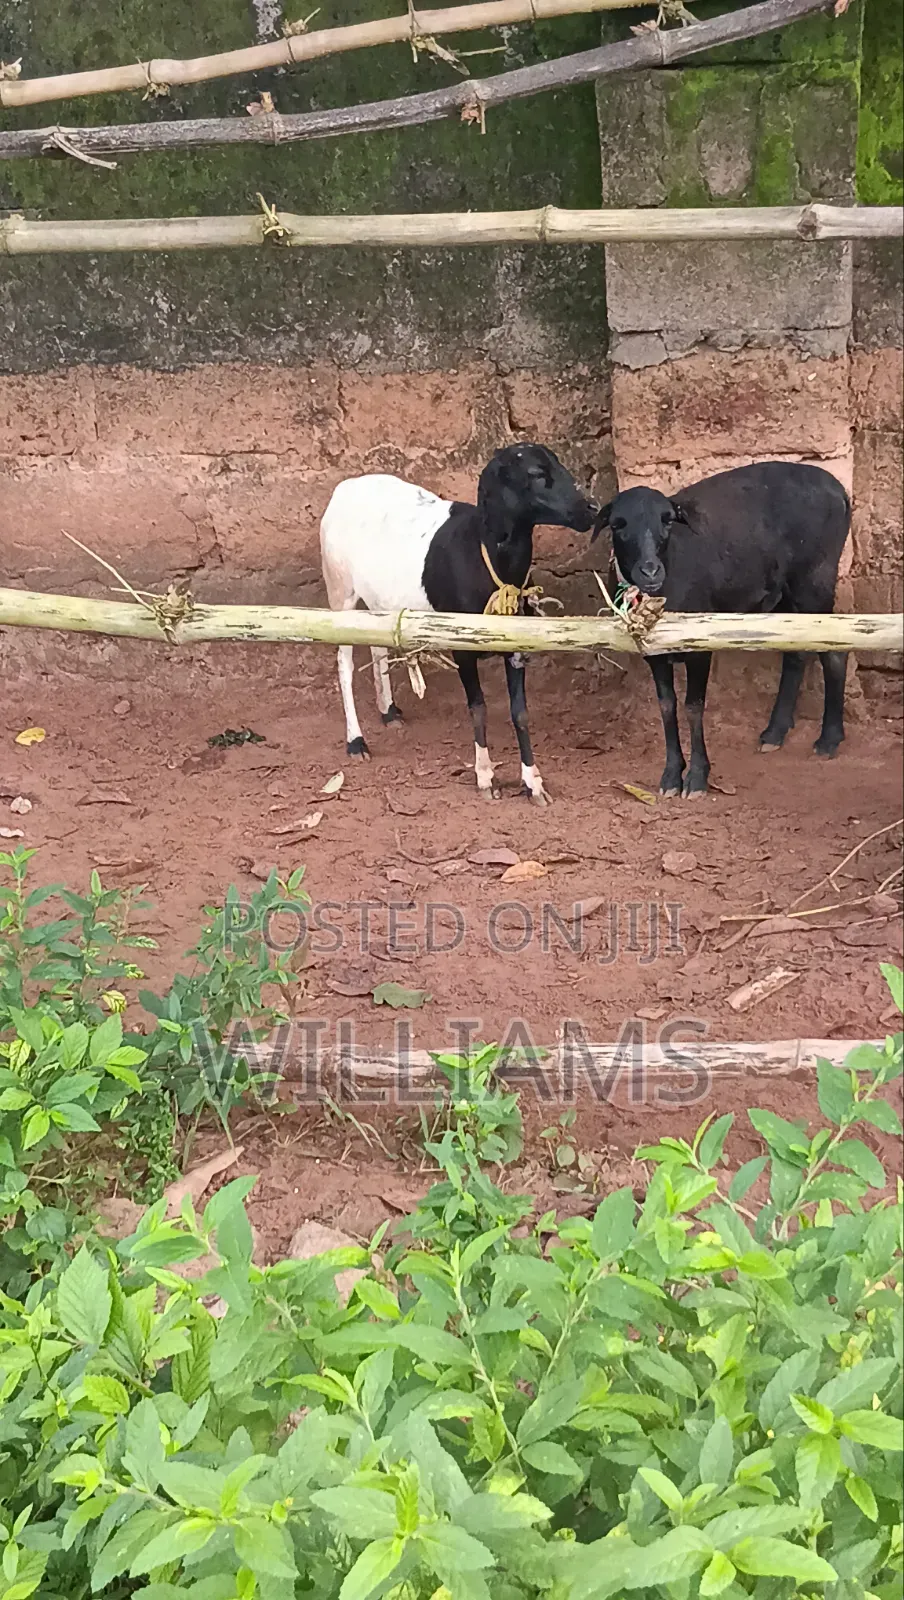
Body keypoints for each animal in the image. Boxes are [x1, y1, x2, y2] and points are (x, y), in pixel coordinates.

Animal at [320, 443, 595, 805]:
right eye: (536, 473)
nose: (591, 508)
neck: (485, 554)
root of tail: (344, 488)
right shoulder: (461, 648)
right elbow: (478, 708)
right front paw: (485, 778)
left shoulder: (515, 645)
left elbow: (520, 712)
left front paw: (533, 782)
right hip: (339, 591)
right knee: (344, 663)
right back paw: (356, 741)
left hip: (378, 602)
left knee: (378, 647)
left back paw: (389, 711)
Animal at [591, 460, 851, 798]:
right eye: (618, 525)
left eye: (667, 520)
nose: (650, 571)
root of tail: (840, 491)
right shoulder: (653, 652)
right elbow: (666, 706)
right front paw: (671, 776)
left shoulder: (699, 646)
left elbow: (693, 707)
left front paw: (697, 778)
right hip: (784, 593)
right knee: (796, 653)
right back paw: (774, 733)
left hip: (815, 581)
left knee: (835, 653)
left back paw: (829, 739)